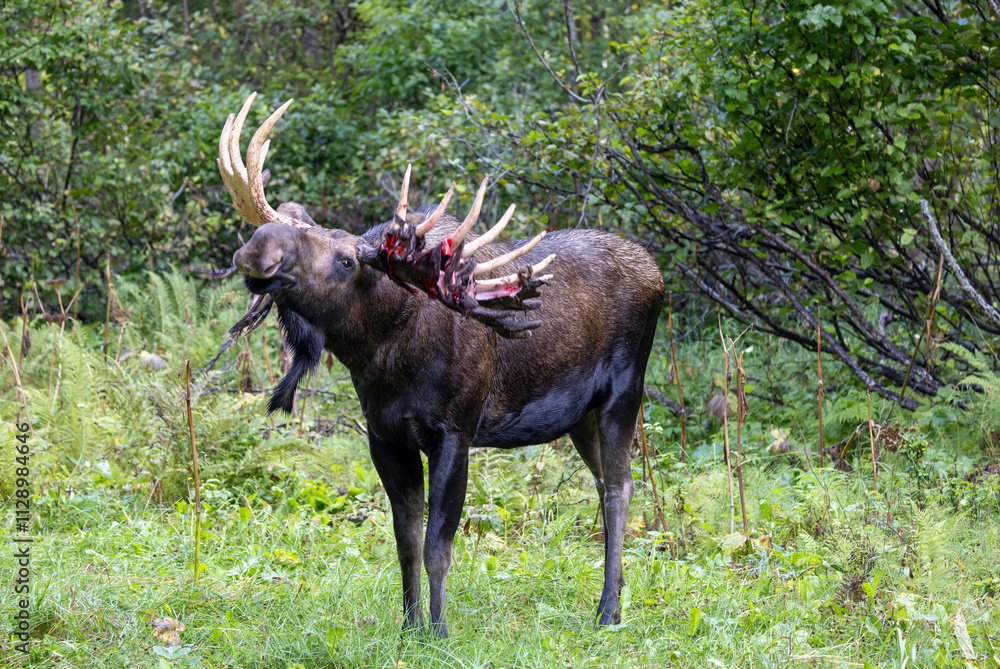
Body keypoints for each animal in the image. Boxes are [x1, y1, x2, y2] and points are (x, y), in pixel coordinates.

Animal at [217, 93, 665, 638]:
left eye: (347, 260)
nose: (259, 246)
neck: (381, 358)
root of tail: (658, 274)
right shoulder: (385, 436)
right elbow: (405, 541)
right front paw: (409, 627)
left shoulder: (455, 432)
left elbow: (437, 546)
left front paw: (439, 631)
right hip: (579, 416)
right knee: (605, 484)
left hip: (625, 391)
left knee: (620, 488)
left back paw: (608, 611)